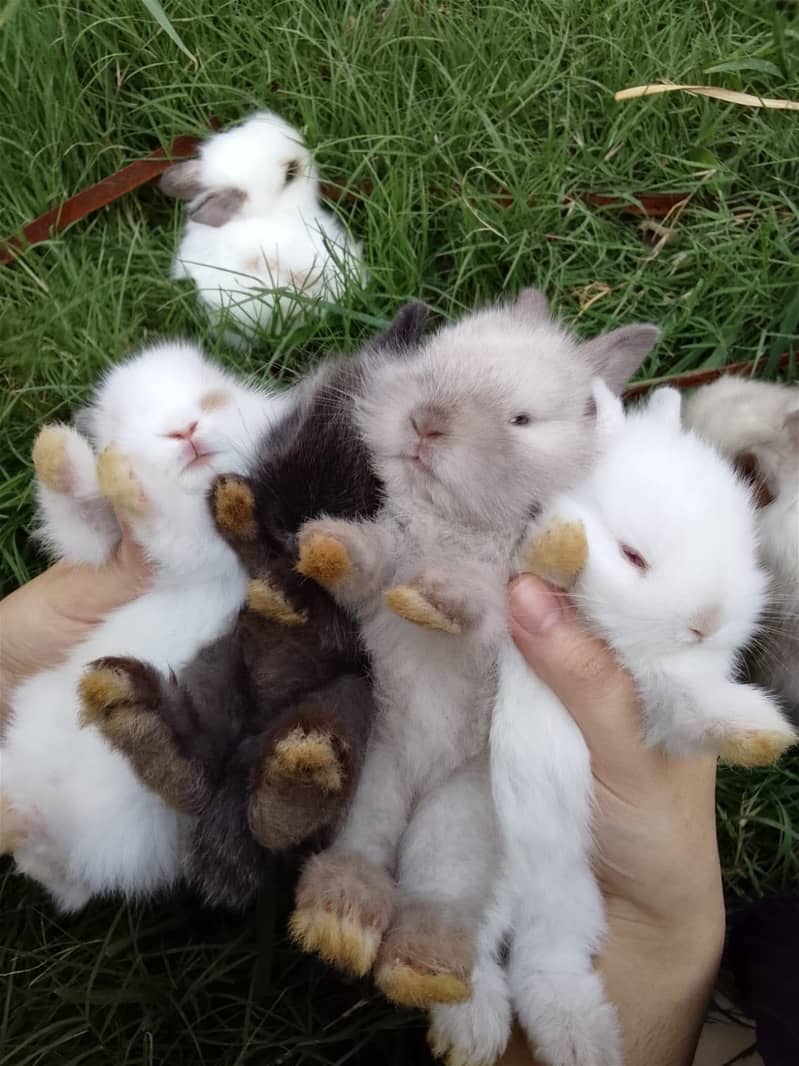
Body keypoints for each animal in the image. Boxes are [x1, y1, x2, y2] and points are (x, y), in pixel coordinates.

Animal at [0, 341, 290, 911]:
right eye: (124, 421)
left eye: (212, 395)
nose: (183, 430)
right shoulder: (106, 548)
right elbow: (83, 515)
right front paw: (62, 452)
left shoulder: (199, 546)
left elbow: (156, 523)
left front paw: (119, 477)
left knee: (52, 869)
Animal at [76, 304, 431, 909]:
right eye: (301, 417)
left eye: (380, 484)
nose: (286, 517)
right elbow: (255, 553)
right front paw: (232, 502)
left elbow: (324, 613)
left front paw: (289, 594)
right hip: (219, 666)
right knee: (201, 754)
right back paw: (141, 721)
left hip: (349, 701)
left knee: (287, 794)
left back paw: (297, 774)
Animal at [288, 288, 661, 1011]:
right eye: (429, 369)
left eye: (521, 419)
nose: (425, 423)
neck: (451, 526)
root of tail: (423, 774)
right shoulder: (390, 554)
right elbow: (372, 561)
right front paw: (323, 546)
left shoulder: (513, 591)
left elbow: (483, 599)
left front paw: (432, 601)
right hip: (376, 770)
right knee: (365, 849)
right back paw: (336, 925)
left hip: (464, 813)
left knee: (440, 893)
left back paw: (420, 970)